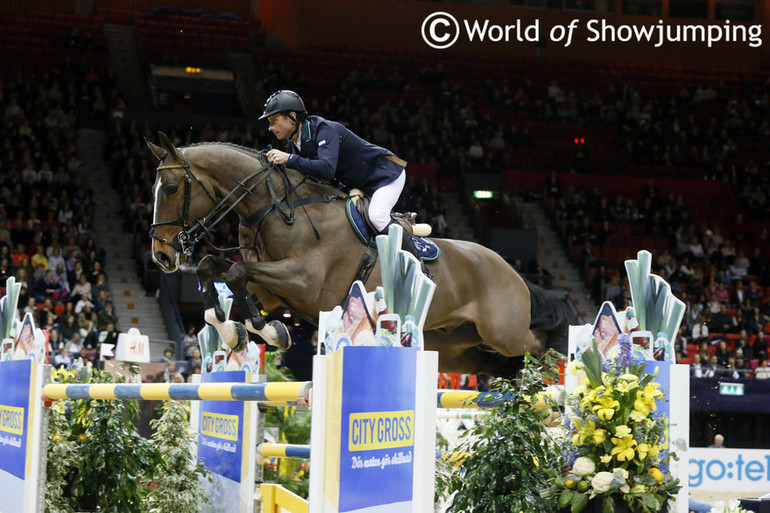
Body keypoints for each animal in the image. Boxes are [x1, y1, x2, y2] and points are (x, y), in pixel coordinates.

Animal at [146, 132, 576, 376]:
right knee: (498, 365)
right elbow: (214, 270)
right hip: (452, 345)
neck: (278, 209)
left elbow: (235, 275)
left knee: (538, 344)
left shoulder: (304, 283)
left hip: (503, 331)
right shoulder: (271, 286)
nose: (161, 256)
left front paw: (266, 330)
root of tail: (513, 272)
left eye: (171, 188)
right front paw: (238, 330)